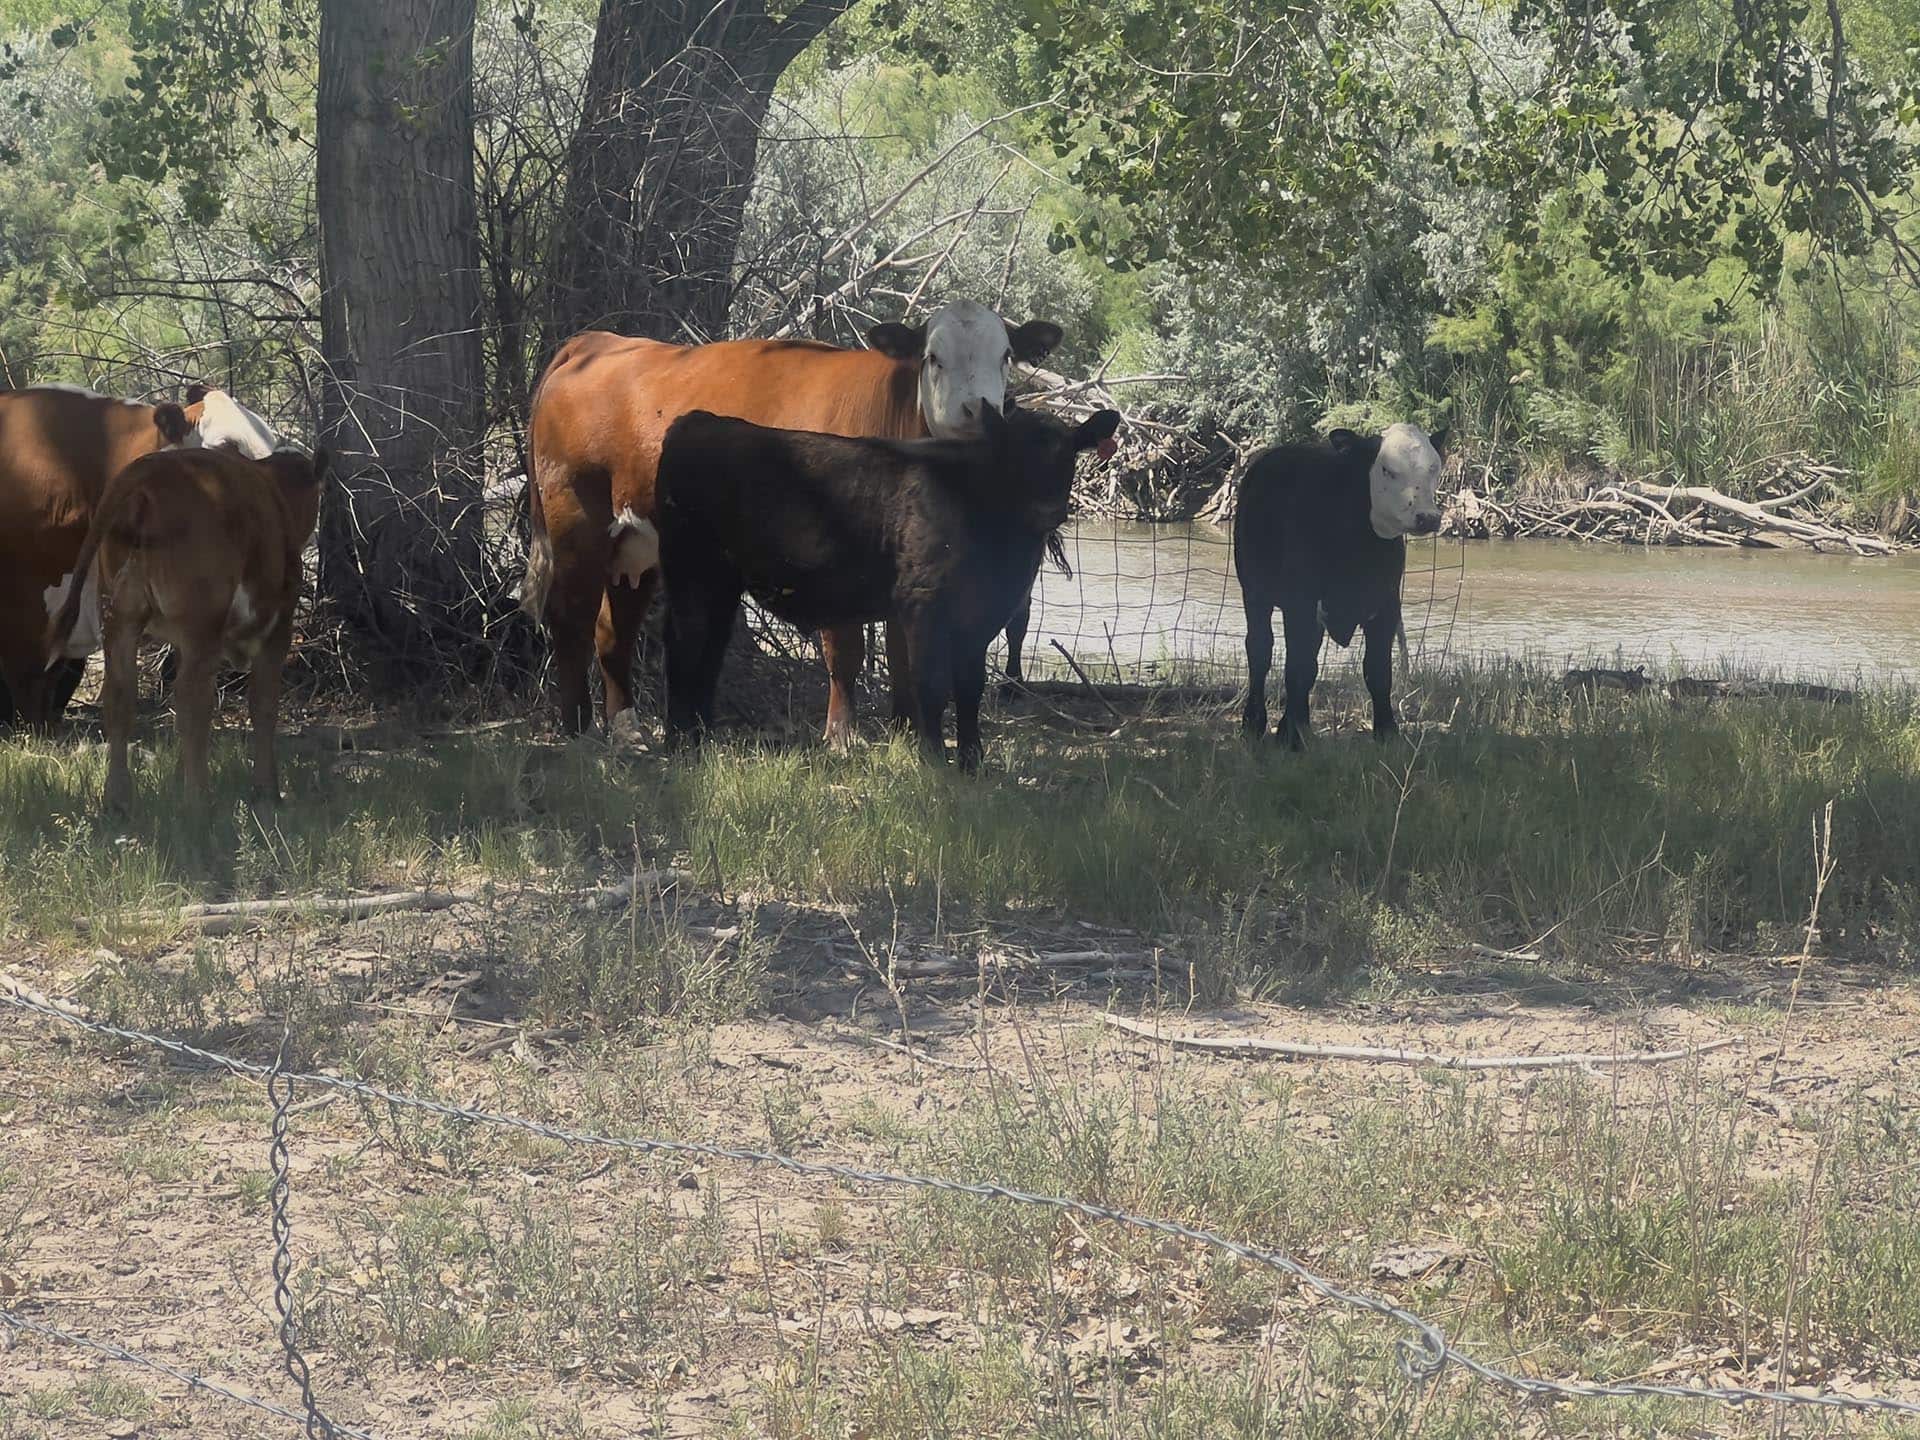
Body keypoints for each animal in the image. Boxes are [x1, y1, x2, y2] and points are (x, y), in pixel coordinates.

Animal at [43, 442, 328, 813]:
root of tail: (150, 470)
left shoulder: (179, 639)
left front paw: (178, 780)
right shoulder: (277, 625)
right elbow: (263, 705)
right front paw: (267, 792)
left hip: (122, 617)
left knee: (121, 696)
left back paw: (118, 799)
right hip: (202, 623)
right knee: (195, 700)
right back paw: (199, 800)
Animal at [524, 299, 1072, 743]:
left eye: (1006, 355)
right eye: (933, 357)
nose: (980, 411)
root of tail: (598, 341)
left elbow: (902, 647)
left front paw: (907, 730)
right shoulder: (834, 549)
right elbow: (846, 650)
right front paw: (842, 736)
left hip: (636, 540)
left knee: (612, 630)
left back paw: (626, 731)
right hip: (576, 515)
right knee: (570, 618)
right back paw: (577, 729)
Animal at [654, 399, 1122, 772]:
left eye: (1068, 453)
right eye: (1013, 455)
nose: (1048, 510)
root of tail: (698, 420)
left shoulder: (979, 617)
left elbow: (969, 687)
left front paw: (973, 761)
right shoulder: (923, 602)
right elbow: (929, 682)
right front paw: (933, 759)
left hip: (721, 582)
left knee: (711, 649)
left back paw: (702, 735)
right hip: (688, 568)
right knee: (684, 643)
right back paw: (679, 742)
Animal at [1235, 423, 1447, 749]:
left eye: (1434, 467)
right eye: (1387, 469)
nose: (1427, 517)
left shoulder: (1386, 605)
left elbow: (1377, 670)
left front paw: (1387, 732)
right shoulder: (1301, 603)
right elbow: (1297, 667)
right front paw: (1292, 739)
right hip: (1254, 591)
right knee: (1260, 649)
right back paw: (1254, 723)